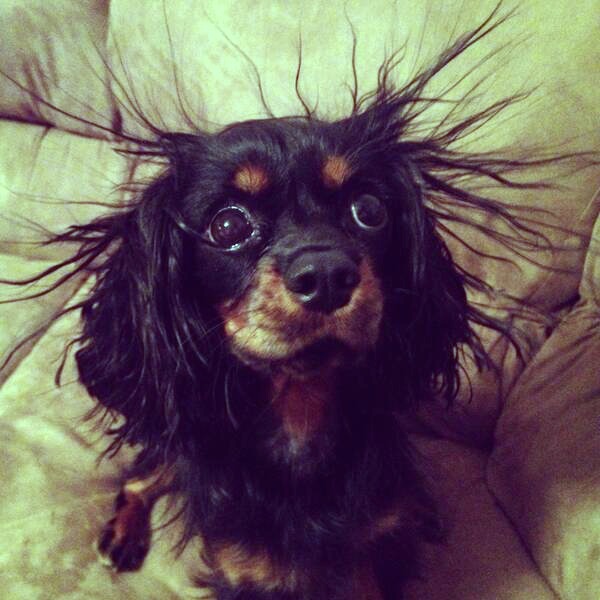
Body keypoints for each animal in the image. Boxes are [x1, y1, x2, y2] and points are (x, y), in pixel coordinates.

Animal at [2, 8, 568, 600]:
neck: (301, 415)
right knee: (143, 474)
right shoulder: (246, 570)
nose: (327, 275)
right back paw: (123, 533)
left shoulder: (370, 556)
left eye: (369, 210)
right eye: (227, 226)